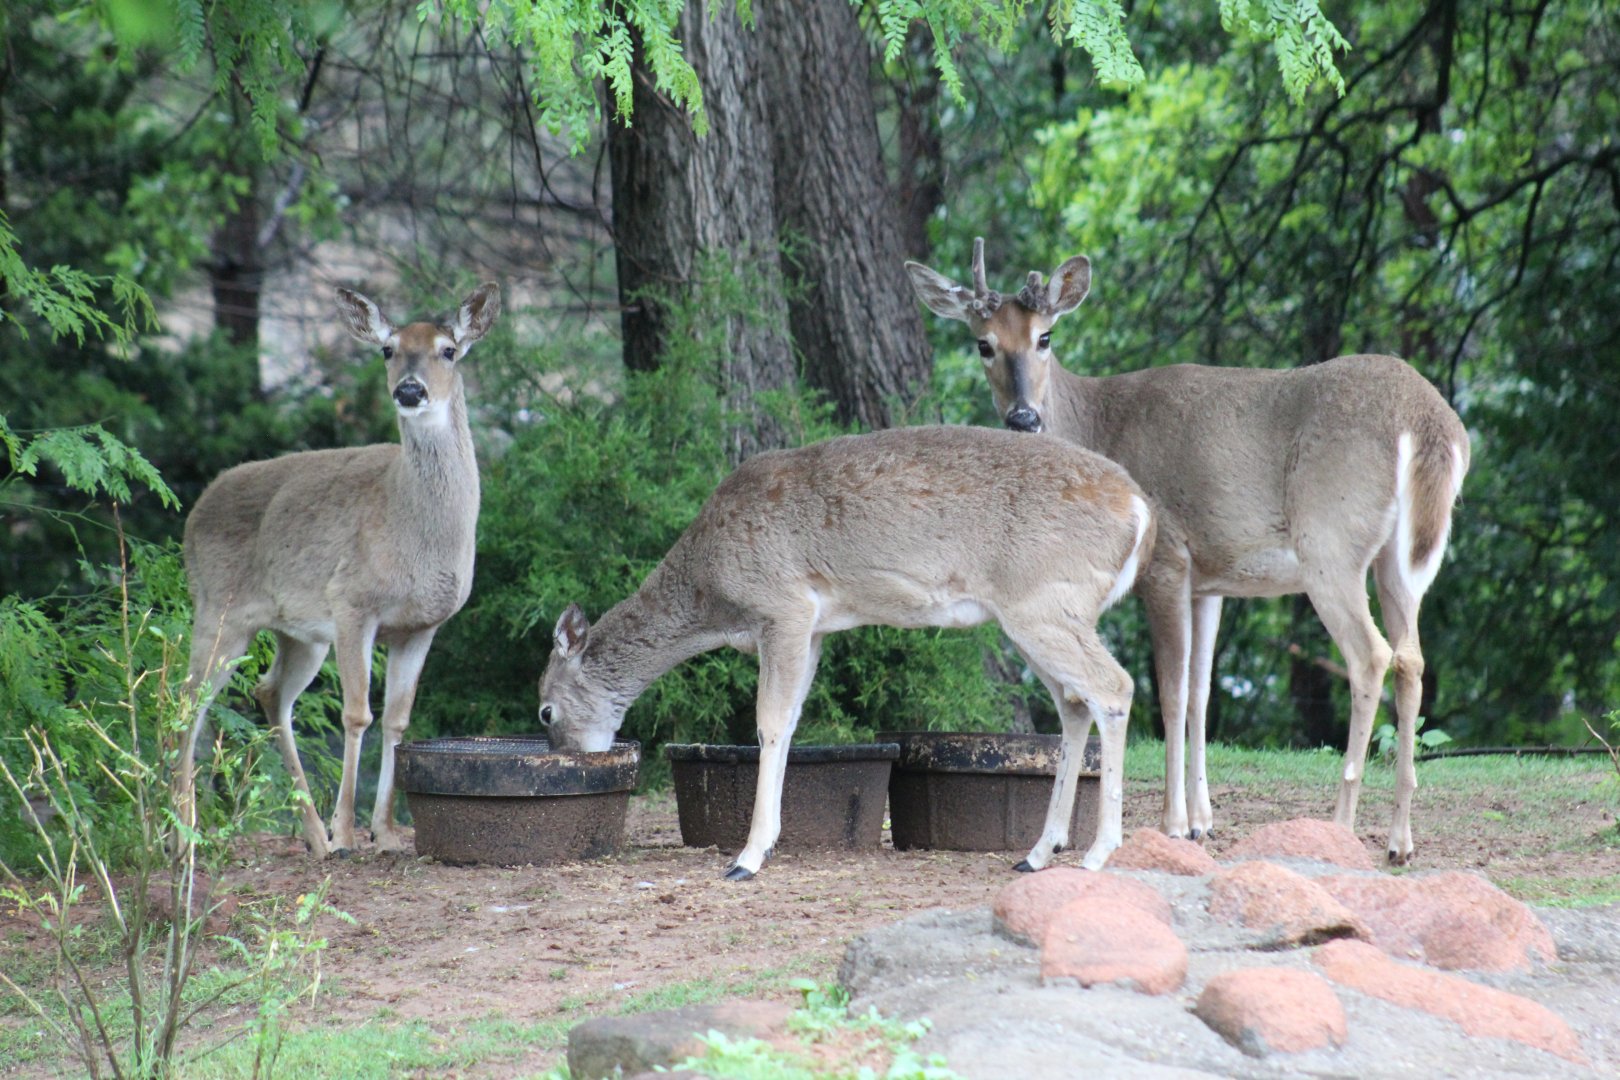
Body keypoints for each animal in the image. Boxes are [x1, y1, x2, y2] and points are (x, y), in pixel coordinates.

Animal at [179, 282, 500, 857]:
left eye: (449, 350)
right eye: (388, 350)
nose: (410, 390)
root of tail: (195, 511)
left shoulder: (421, 626)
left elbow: (397, 720)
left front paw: (386, 832)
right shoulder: (352, 603)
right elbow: (357, 714)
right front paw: (349, 829)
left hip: (298, 633)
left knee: (269, 693)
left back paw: (312, 837)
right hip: (219, 609)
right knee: (185, 701)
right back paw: (178, 835)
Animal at [537, 425, 1155, 879]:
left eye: (545, 710)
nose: (572, 755)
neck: (714, 598)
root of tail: (1141, 510)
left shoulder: (783, 607)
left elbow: (768, 722)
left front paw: (747, 858)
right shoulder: (814, 629)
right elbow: (789, 723)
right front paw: (766, 842)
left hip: (1043, 601)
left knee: (1115, 687)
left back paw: (1098, 852)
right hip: (1038, 615)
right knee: (1074, 704)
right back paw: (1037, 853)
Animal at [906, 241, 1470, 864]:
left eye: (1045, 336)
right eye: (983, 343)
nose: (1023, 417)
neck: (1098, 426)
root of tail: (1429, 423)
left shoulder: (1167, 559)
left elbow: (1171, 694)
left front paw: (1174, 823)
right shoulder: (1211, 580)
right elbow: (1201, 693)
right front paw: (1203, 821)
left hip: (1330, 542)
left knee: (1370, 656)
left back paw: (1340, 829)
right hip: (1401, 559)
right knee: (1412, 659)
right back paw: (1399, 842)